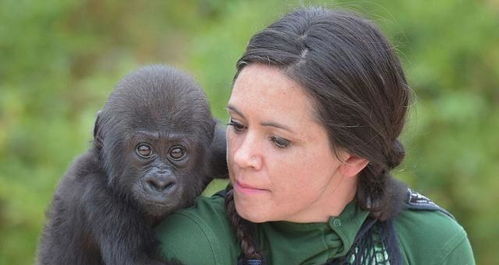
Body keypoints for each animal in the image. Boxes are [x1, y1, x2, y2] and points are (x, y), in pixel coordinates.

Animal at [37, 64, 229, 264]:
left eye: (177, 152)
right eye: (144, 149)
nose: (160, 183)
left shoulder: (215, 149)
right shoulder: (100, 196)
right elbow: (139, 259)